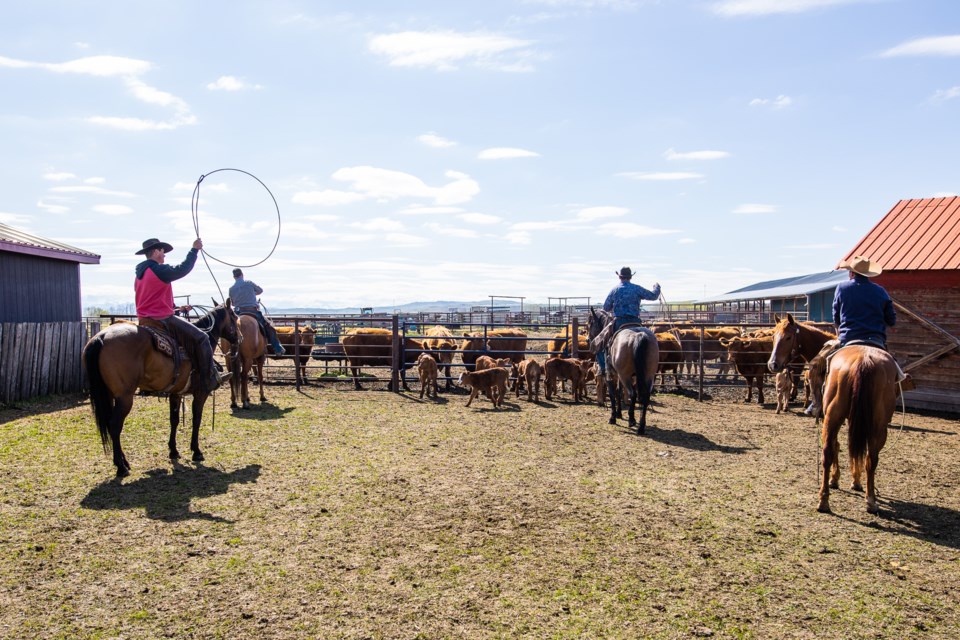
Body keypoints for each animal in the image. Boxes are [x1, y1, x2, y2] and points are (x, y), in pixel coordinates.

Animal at [83, 302, 240, 478]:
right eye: (234, 316)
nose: (239, 338)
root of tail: (101, 337)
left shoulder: (175, 393)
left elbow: (174, 420)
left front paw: (173, 451)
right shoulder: (201, 393)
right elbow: (196, 419)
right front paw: (196, 451)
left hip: (110, 395)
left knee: (110, 425)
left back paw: (124, 462)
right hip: (125, 398)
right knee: (115, 425)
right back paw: (121, 467)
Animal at [584, 306, 660, 436]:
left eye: (590, 323)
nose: (588, 339)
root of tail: (639, 336)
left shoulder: (610, 375)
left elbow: (613, 393)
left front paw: (613, 417)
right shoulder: (620, 376)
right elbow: (619, 392)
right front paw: (619, 414)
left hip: (625, 375)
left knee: (633, 394)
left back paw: (632, 420)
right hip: (648, 375)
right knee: (645, 397)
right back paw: (641, 426)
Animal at [816, 344, 900, 516]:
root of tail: (864, 361)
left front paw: (840, 479)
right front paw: (853, 480)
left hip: (833, 418)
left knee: (829, 452)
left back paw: (824, 501)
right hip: (877, 427)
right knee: (870, 458)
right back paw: (870, 500)